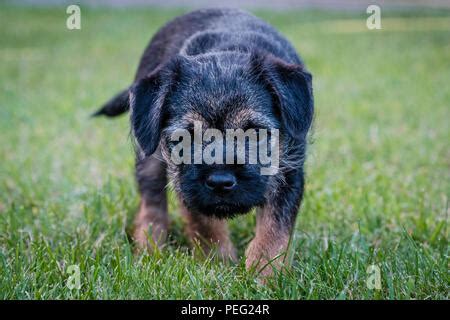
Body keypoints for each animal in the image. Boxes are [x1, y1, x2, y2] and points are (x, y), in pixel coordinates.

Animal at [93, 8, 314, 276]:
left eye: (256, 133)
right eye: (183, 138)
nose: (220, 181)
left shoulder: (290, 171)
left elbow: (274, 231)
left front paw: (264, 274)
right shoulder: (184, 181)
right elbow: (204, 223)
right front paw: (218, 264)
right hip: (149, 155)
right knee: (152, 204)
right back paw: (149, 251)